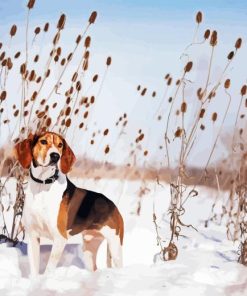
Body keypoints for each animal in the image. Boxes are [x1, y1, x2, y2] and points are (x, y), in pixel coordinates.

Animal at [14, 132, 123, 276]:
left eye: (60, 145)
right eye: (43, 141)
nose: (55, 156)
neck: (43, 185)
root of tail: (114, 206)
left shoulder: (60, 238)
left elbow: (49, 269)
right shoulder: (33, 236)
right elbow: (34, 270)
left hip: (115, 247)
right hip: (89, 248)